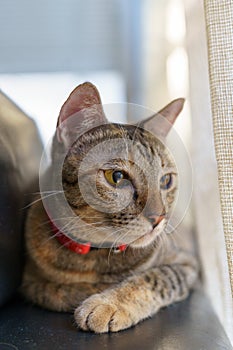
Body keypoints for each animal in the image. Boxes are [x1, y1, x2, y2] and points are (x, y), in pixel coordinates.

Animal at [20, 82, 198, 334]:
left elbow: (156, 277)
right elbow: (58, 291)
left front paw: (109, 303)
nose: (159, 218)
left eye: (166, 181)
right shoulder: (31, 283)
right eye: (117, 177)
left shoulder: (187, 264)